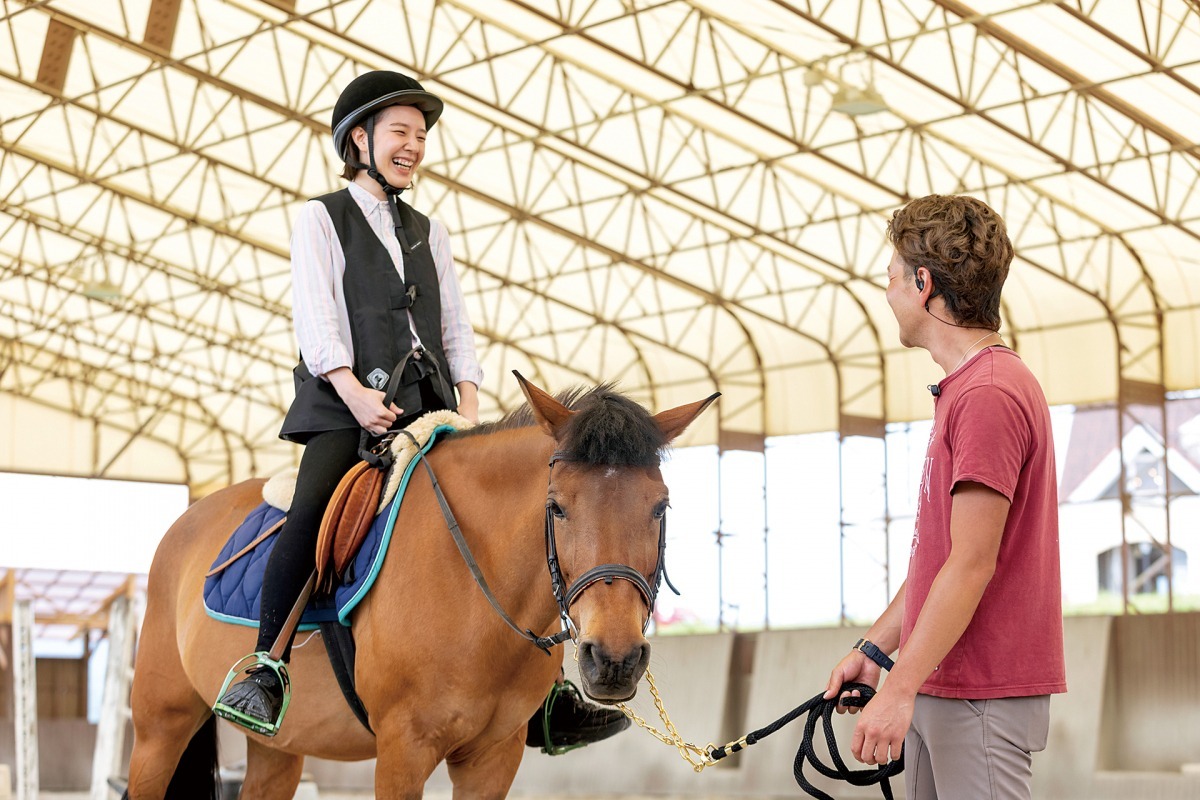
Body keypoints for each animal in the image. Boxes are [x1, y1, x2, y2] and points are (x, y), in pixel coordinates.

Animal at [124, 372, 717, 799]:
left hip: (279, 746)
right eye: (556, 507)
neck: (475, 595)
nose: (614, 659)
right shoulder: (403, 750)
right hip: (160, 728)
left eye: (661, 507)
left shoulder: (493, 758)